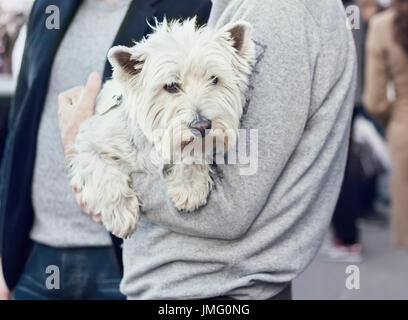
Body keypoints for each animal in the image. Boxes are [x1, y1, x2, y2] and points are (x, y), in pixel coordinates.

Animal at [69, 17, 255, 238]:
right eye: (171, 86)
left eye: (214, 79)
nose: (202, 126)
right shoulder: (89, 142)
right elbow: (102, 170)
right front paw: (121, 214)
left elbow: (192, 152)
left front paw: (189, 186)